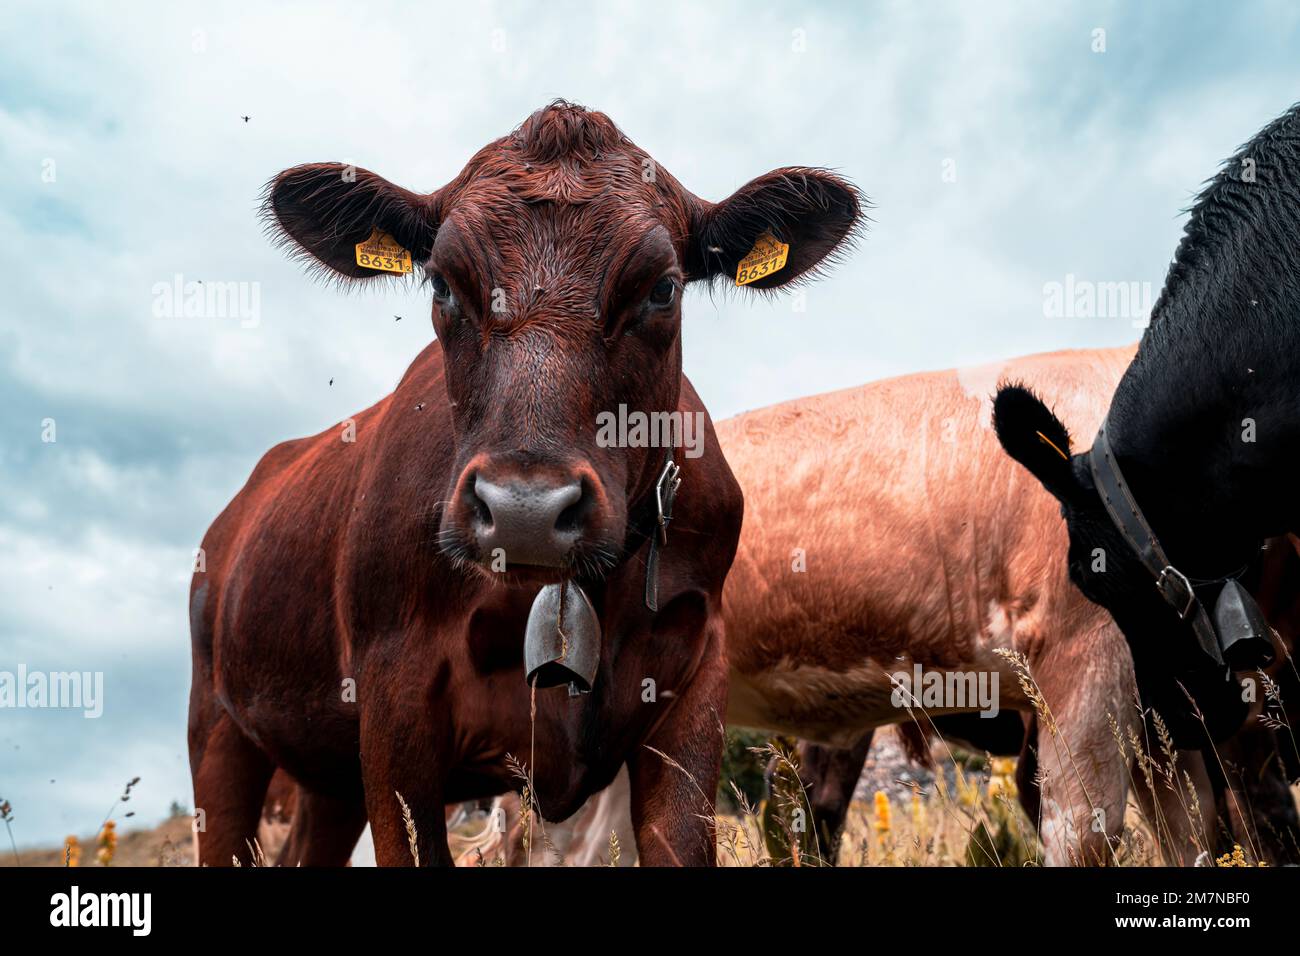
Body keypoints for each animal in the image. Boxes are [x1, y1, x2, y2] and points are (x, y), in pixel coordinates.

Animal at [189, 102, 863, 868]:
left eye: (662, 288)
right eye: (442, 284)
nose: (525, 513)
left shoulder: (696, 685)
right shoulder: (393, 699)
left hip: (325, 776)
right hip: (219, 733)